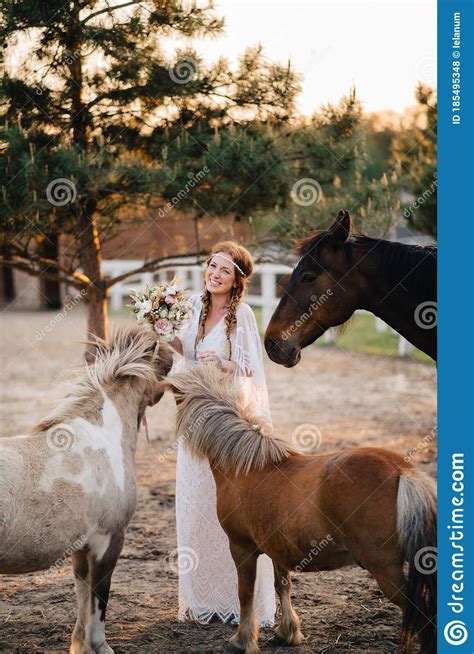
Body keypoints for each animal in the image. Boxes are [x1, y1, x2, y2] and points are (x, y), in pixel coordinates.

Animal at [162, 368, 436, 654]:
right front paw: (287, 632)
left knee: (422, 616)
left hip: (386, 569)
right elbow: (282, 585)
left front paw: (242, 640)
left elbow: (245, 593)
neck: (246, 467)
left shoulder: (241, 547)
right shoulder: (277, 548)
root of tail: (401, 470)